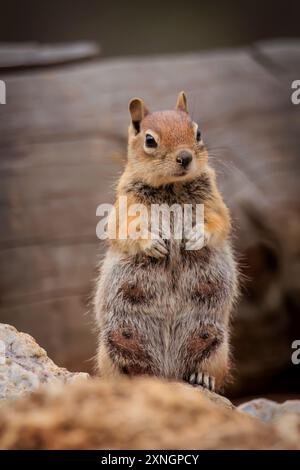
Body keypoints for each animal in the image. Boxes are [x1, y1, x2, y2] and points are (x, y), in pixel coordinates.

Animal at [94, 92, 239, 392]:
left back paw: (202, 378)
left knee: (208, 369)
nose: (185, 157)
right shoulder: (125, 206)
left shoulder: (215, 204)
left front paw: (196, 236)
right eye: (150, 140)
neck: (172, 187)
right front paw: (152, 244)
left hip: (216, 342)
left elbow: (219, 222)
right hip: (112, 344)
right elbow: (122, 228)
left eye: (198, 132)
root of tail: (166, 373)